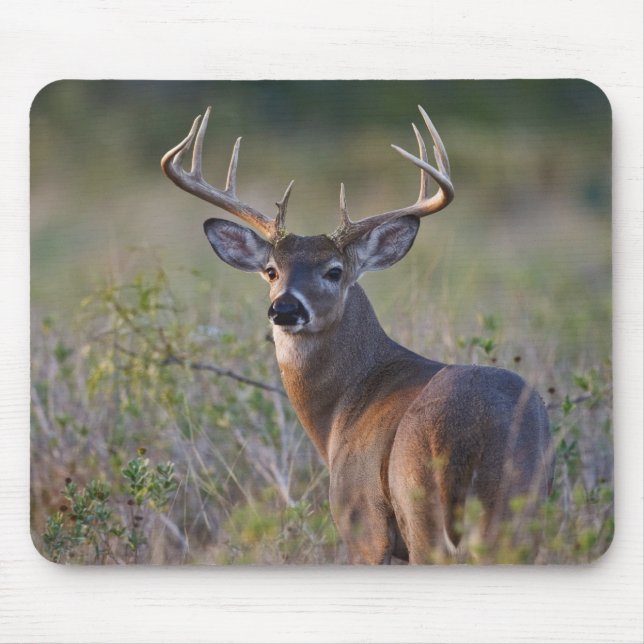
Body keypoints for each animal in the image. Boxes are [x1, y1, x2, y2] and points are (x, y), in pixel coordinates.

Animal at [161, 104, 554, 564]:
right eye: (271, 270)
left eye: (334, 271)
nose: (285, 308)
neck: (339, 411)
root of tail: (467, 431)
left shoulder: (361, 521)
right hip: (521, 511)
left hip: (419, 510)